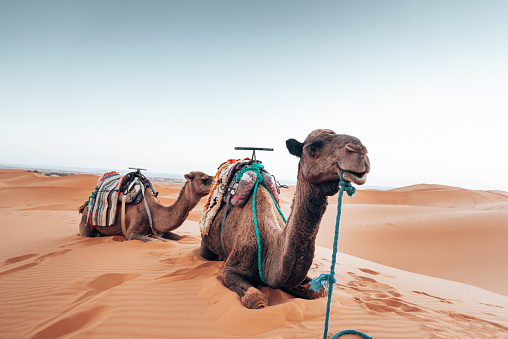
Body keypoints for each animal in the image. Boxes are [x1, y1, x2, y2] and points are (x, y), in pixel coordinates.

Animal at [79, 173, 212, 242]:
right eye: (204, 179)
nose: (215, 180)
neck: (154, 211)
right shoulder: (131, 233)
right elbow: (158, 240)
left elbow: (180, 237)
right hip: (86, 224)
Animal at [200, 129, 372, 308]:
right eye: (312, 147)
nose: (359, 150)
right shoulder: (232, 269)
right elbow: (256, 299)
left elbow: (318, 291)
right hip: (206, 243)